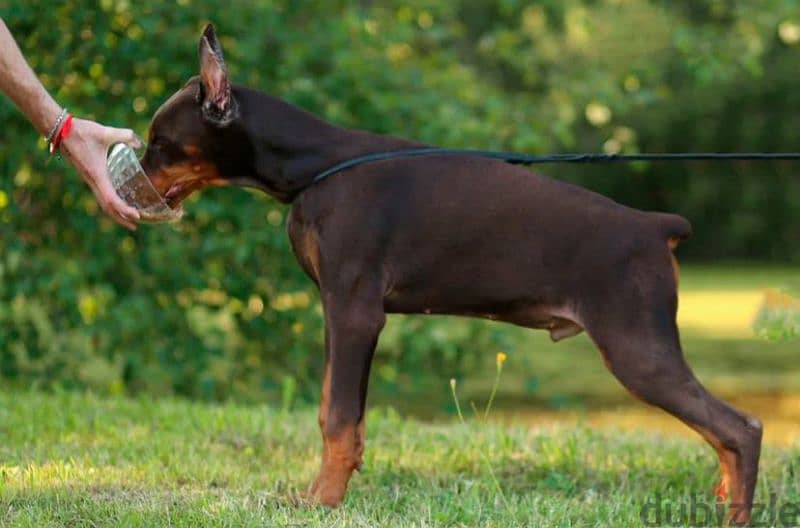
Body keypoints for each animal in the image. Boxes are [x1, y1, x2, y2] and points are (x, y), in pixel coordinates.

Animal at [142, 24, 764, 524]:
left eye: (159, 142)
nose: (134, 175)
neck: (317, 168)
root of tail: (656, 226)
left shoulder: (354, 311)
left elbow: (337, 418)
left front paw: (323, 503)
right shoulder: (337, 314)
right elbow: (335, 412)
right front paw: (320, 495)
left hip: (636, 346)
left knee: (740, 428)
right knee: (722, 433)